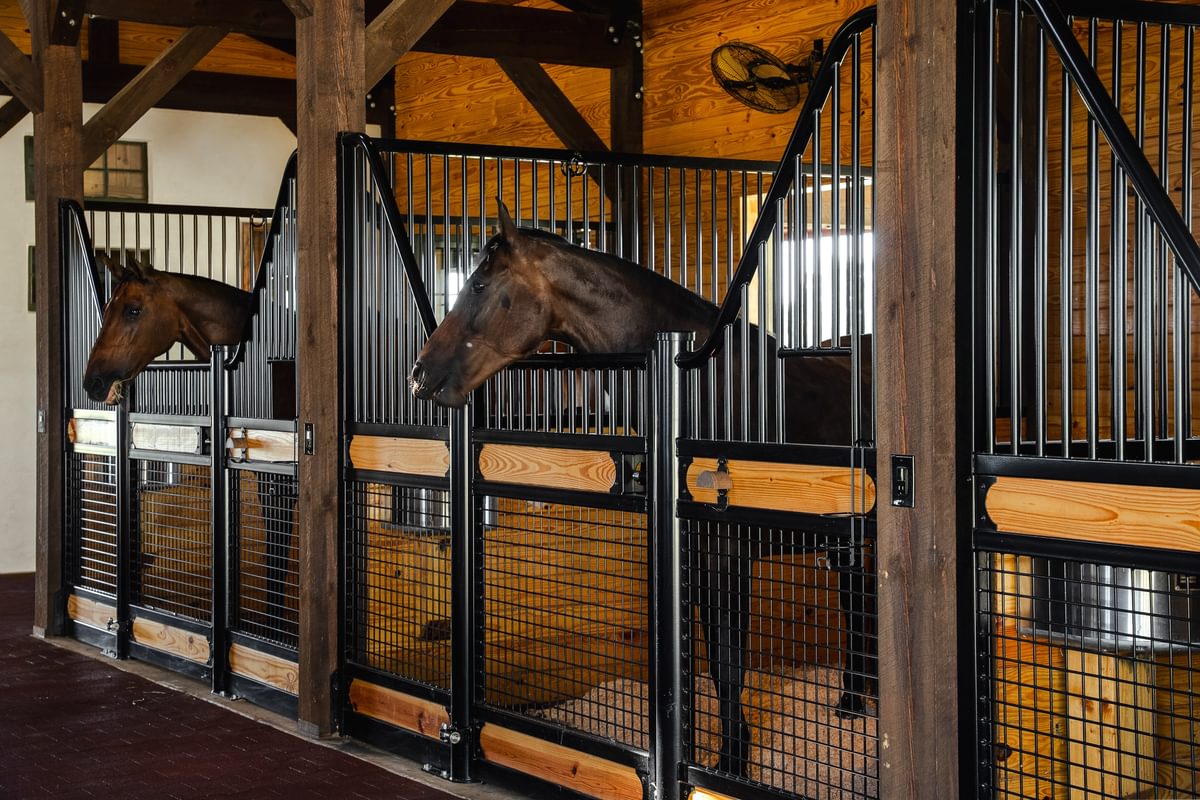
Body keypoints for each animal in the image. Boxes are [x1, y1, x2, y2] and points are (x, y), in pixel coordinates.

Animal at [411, 201, 876, 777]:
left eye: (478, 284)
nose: (420, 375)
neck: (703, 388)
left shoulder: (726, 550)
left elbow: (729, 658)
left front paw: (732, 763)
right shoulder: (692, 549)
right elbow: (706, 657)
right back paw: (850, 706)